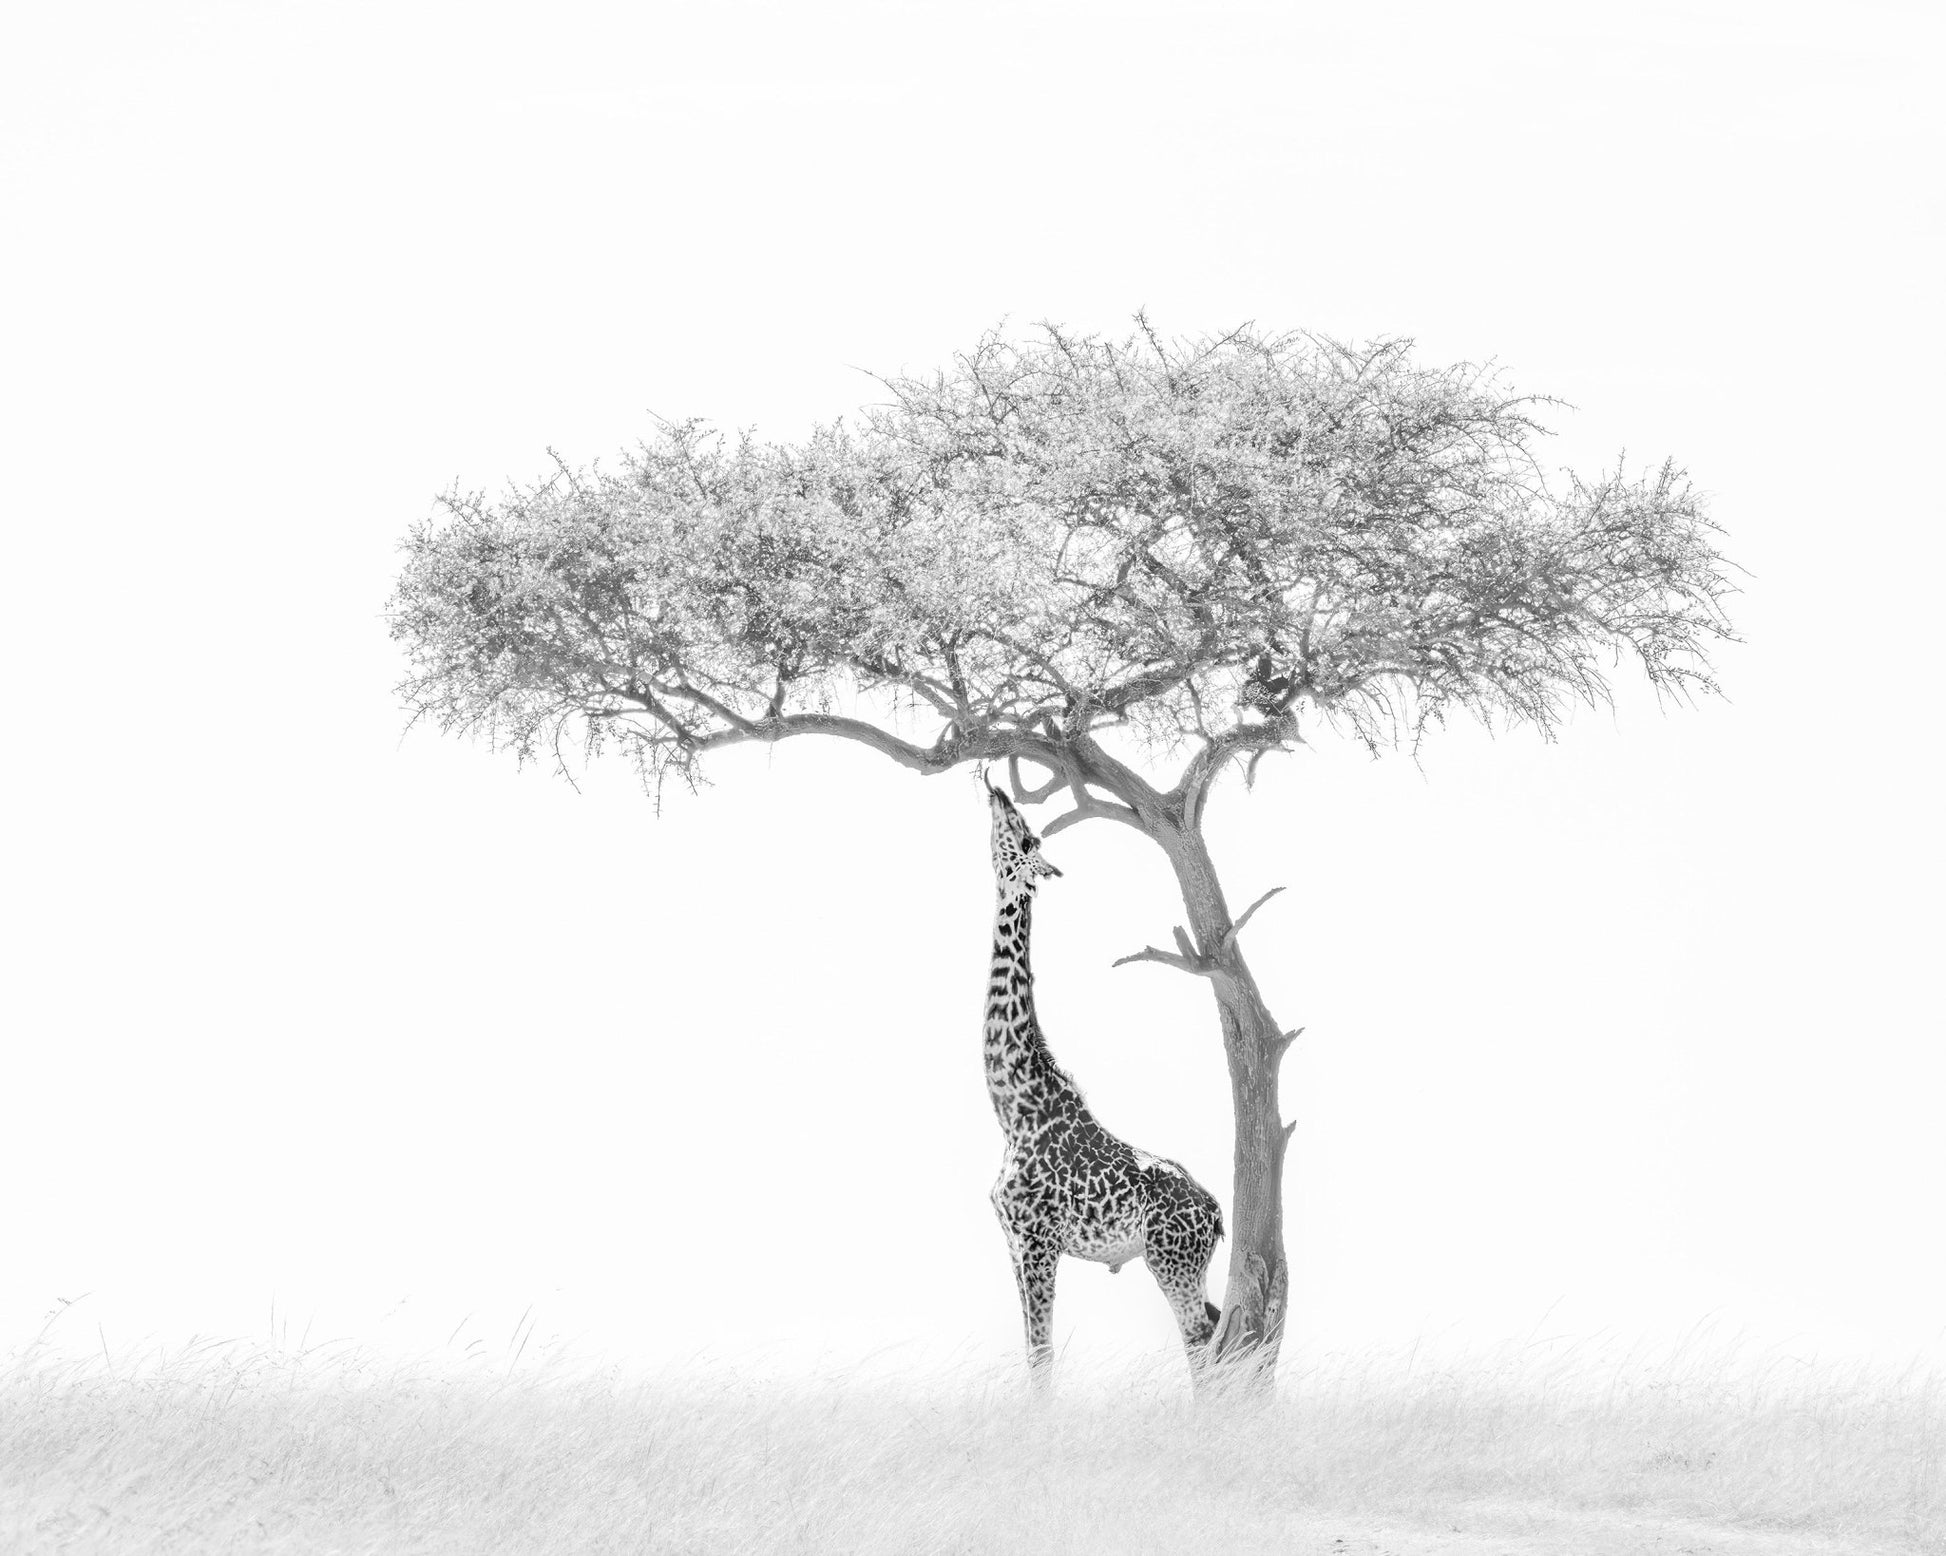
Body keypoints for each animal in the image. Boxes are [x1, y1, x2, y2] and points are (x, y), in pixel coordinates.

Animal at [980, 776, 1226, 1390]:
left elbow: (1042, 1355)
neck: (1013, 1107)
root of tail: (1215, 1214)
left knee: (1201, 1345)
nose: (997, 790)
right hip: (1185, 1265)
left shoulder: (1039, 1242)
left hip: (1171, 1260)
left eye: (1026, 836)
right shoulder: (1013, 1243)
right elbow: (1032, 1351)